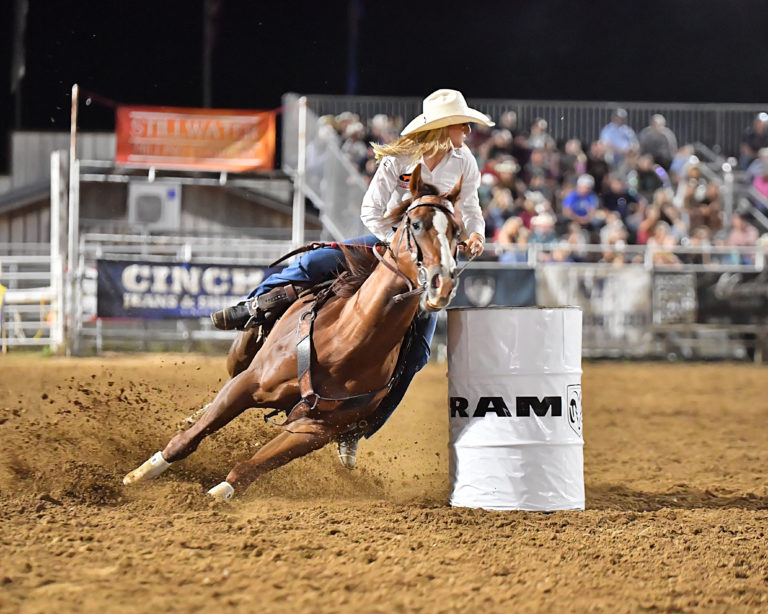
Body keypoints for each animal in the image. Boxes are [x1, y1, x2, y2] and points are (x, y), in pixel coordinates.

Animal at [123, 166, 462, 502]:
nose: (442, 283)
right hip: (241, 353)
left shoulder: (313, 429)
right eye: (416, 224)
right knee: (223, 386)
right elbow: (189, 439)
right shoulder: (249, 384)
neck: (344, 342)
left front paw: (214, 497)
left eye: (457, 231)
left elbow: (248, 470)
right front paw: (138, 476)